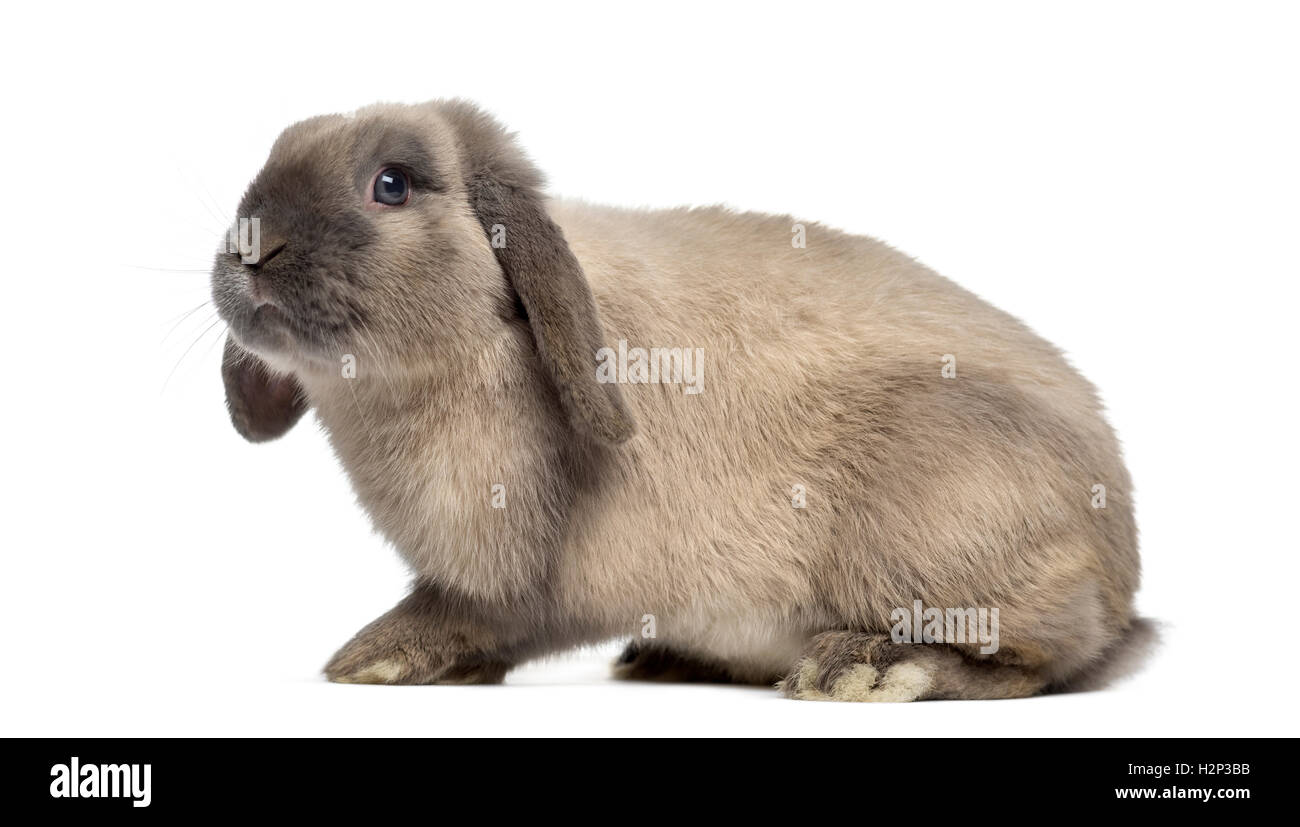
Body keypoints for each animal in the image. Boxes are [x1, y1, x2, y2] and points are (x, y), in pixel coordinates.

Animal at [208, 100, 1154, 702]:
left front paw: (373, 657)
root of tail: (1120, 560)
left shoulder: (523, 574)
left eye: (393, 183)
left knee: (1049, 657)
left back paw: (869, 669)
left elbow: (476, 614)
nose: (252, 241)